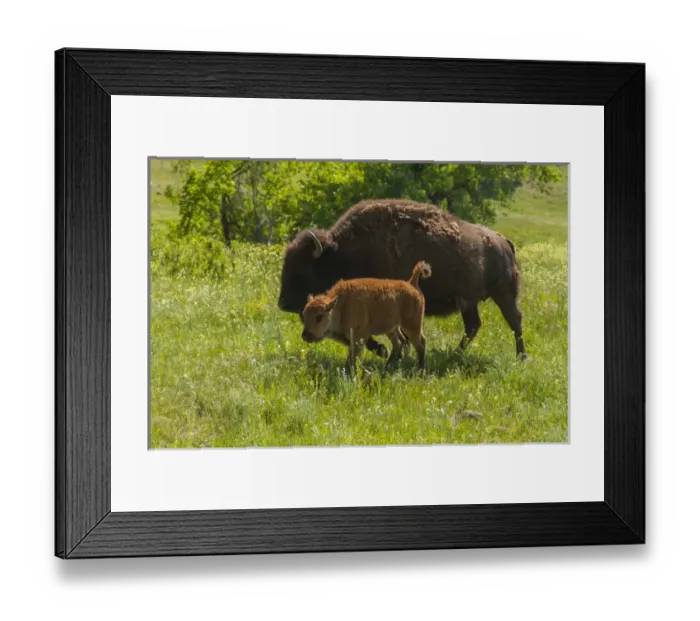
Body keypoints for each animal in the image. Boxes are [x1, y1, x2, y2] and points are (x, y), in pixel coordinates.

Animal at [301, 261, 432, 369]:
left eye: (319, 316)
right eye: (304, 315)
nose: (305, 335)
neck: (342, 305)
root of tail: (411, 283)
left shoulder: (359, 336)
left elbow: (354, 355)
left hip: (412, 325)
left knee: (420, 343)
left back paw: (420, 369)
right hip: (392, 329)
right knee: (399, 342)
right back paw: (388, 365)